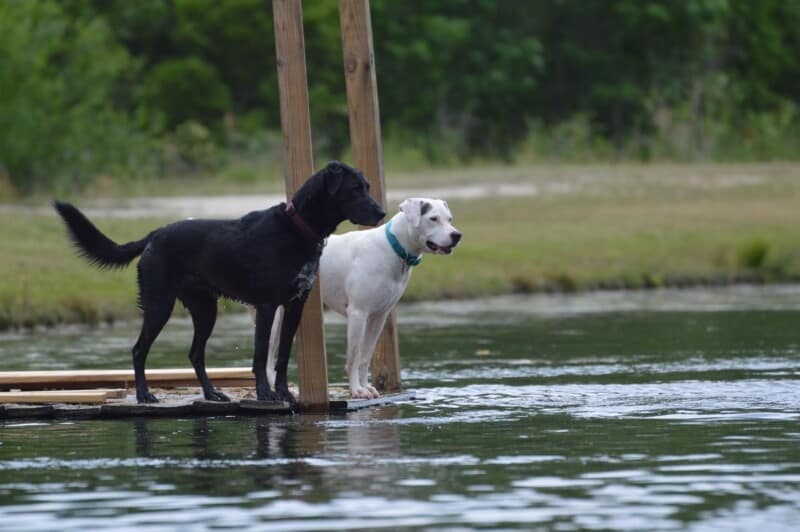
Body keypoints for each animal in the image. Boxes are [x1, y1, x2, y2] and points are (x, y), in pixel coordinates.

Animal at [53, 162, 384, 404]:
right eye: (355, 189)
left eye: (367, 187)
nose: (381, 211)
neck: (297, 228)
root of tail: (154, 235)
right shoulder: (267, 306)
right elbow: (261, 355)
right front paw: (265, 395)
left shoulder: (295, 306)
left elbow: (282, 356)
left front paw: (283, 393)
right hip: (160, 305)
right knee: (138, 350)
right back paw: (145, 395)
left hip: (205, 310)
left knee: (195, 353)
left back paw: (212, 393)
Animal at [264, 197, 462, 396]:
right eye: (433, 219)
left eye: (450, 219)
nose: (457, 235)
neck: (393, 249)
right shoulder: (358, 314)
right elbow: (354, 356)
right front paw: (357, 390)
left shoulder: (379, 317)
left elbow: (365, 357)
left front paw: (365, 386)